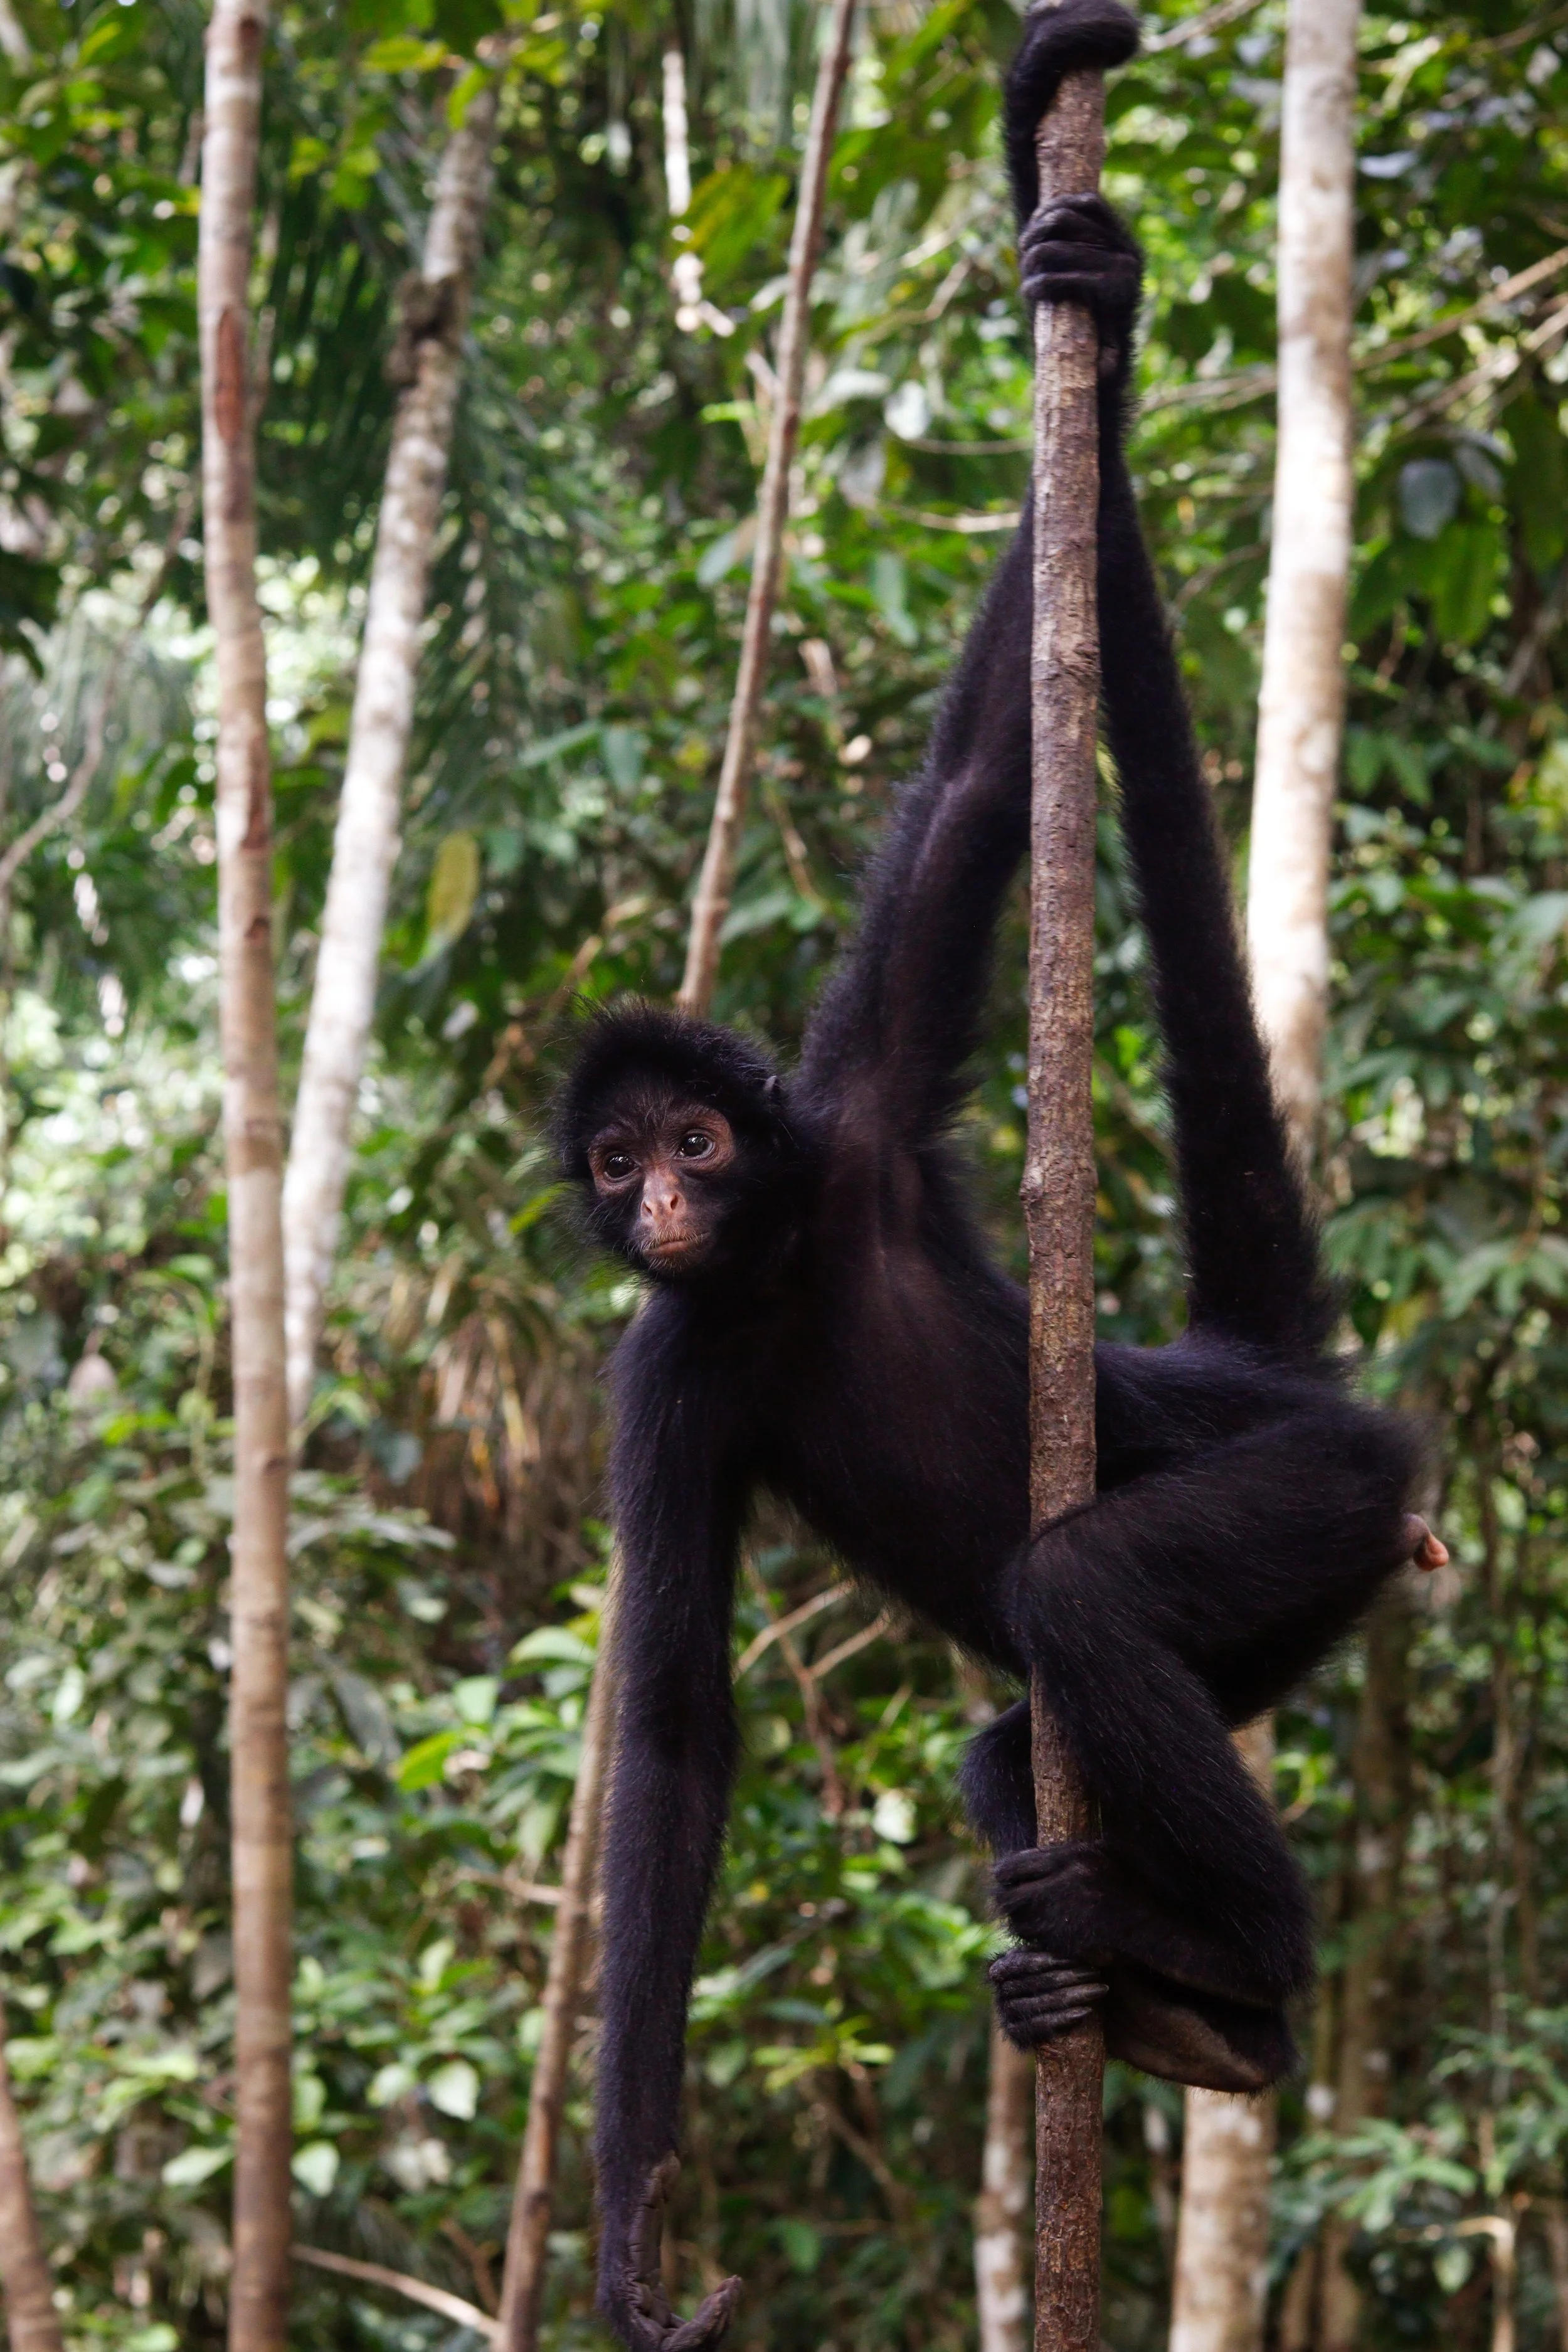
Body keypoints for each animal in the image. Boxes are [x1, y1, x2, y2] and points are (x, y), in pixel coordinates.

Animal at [557, 7, 1441, 2344]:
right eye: (619, 1161)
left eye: (698, 1138)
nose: (661, 1199)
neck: (779, 1264)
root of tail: (1267, 1383)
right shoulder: (663, 1365)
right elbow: (672, 1737)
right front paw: (634, 2213)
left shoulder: (855, 1104)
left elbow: (975, 783)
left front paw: (1089, 310)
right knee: (1011, 1724)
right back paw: (1169, 1992)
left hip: (1327, 1486)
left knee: (1079, 1593)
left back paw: (1223, 1959)